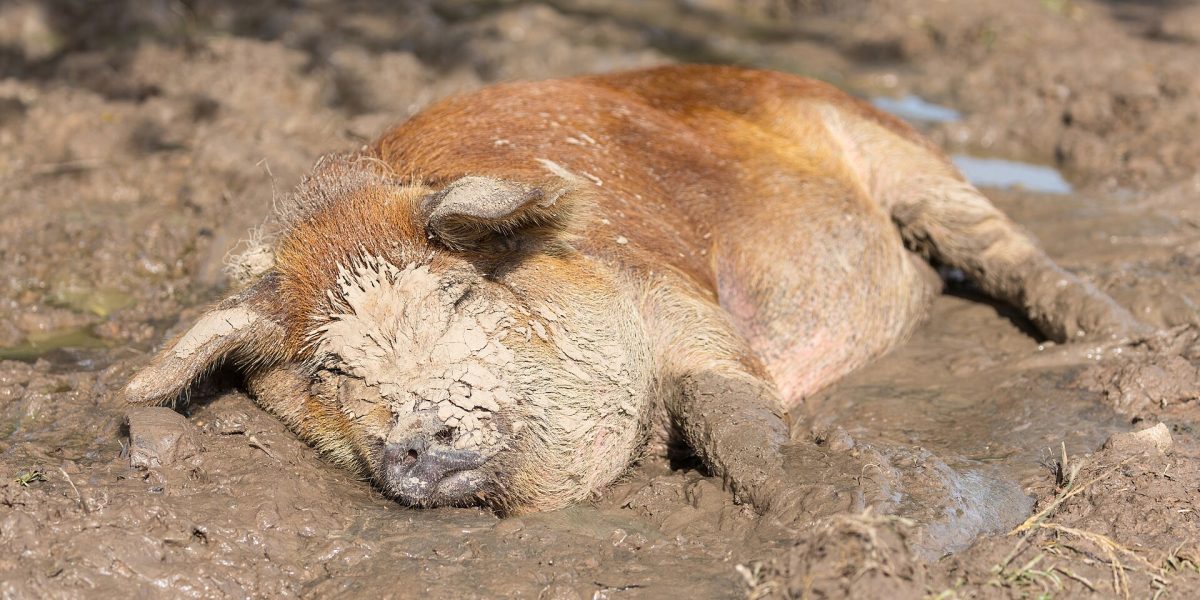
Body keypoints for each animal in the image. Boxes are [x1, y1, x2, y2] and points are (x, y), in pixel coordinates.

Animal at [125, 65, 1145, 515]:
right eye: (331, 369)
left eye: (459, 299)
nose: (417, 430)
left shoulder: (676, 299)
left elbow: (727, 409)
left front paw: (815, 502)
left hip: (903, 154)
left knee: (1010, 251)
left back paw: (1125, 342)